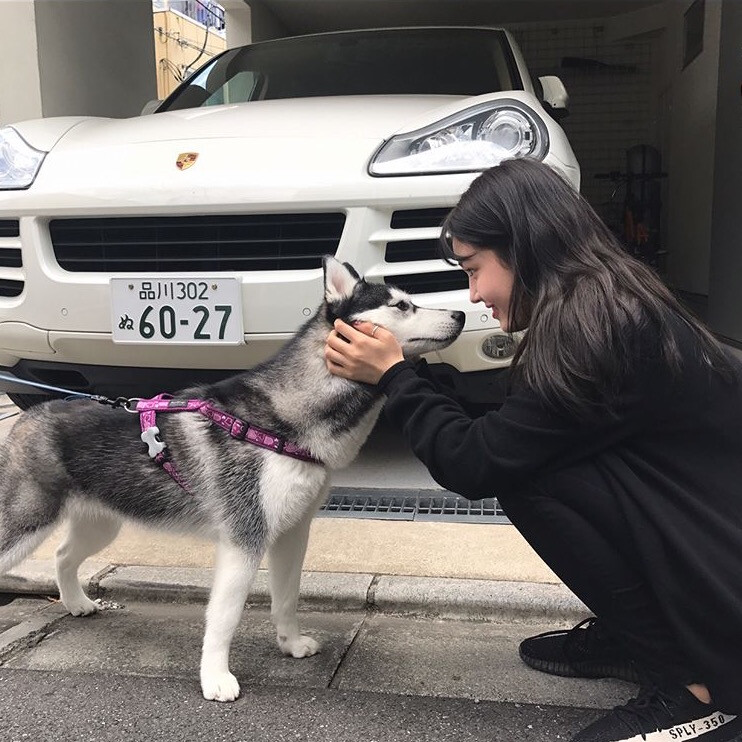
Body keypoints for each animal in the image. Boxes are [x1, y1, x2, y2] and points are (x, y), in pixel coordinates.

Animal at [0, 260, 464, 704]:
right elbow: (225, 617)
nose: (460, 313)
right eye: (401, 305)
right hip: (29, 521)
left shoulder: (292, 532)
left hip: (101, 523)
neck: (282, 419)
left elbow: (286, 597)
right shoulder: (245, 538)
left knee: (63, 555)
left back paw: (77, 603)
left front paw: (291, 644)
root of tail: (31, 412)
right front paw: (216, 679)